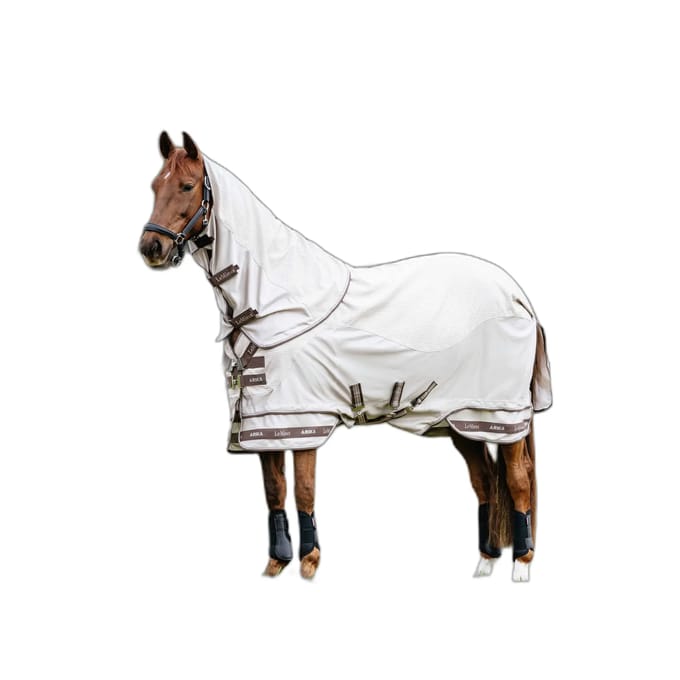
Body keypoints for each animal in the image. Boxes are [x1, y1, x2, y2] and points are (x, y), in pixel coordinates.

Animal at [138, 131, 552, 582]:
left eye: (187, 186)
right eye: (154, 186)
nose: (151, 247)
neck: (275, 303)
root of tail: (518, 296)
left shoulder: (304, 418)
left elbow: (304, 489)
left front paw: (309, 563)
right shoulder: (264, 425)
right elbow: (274, 490)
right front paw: (276, 564)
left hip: (500, 415)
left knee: (518, 480)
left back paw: (522, 566)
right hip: (461, 420)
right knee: (485, 481)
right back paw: (484, 562)